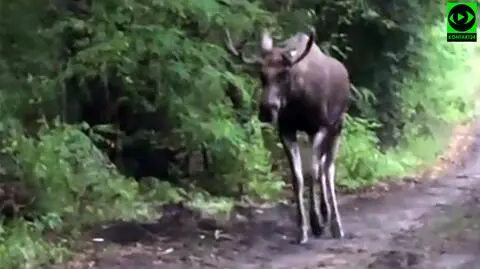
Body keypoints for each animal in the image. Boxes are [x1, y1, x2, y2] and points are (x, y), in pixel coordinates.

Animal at [223, 27, 350, 243]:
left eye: (284, 74)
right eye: (261, 74)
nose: (267, 109)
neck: (297, 100)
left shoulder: (321, 127)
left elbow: (312, 173)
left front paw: (316, 222)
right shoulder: (287, 130)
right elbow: (297, 177)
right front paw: (303, 228)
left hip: (337, 125)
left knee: (327, 168)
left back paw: (335, 224)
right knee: (323, 166)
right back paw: (326, 214)